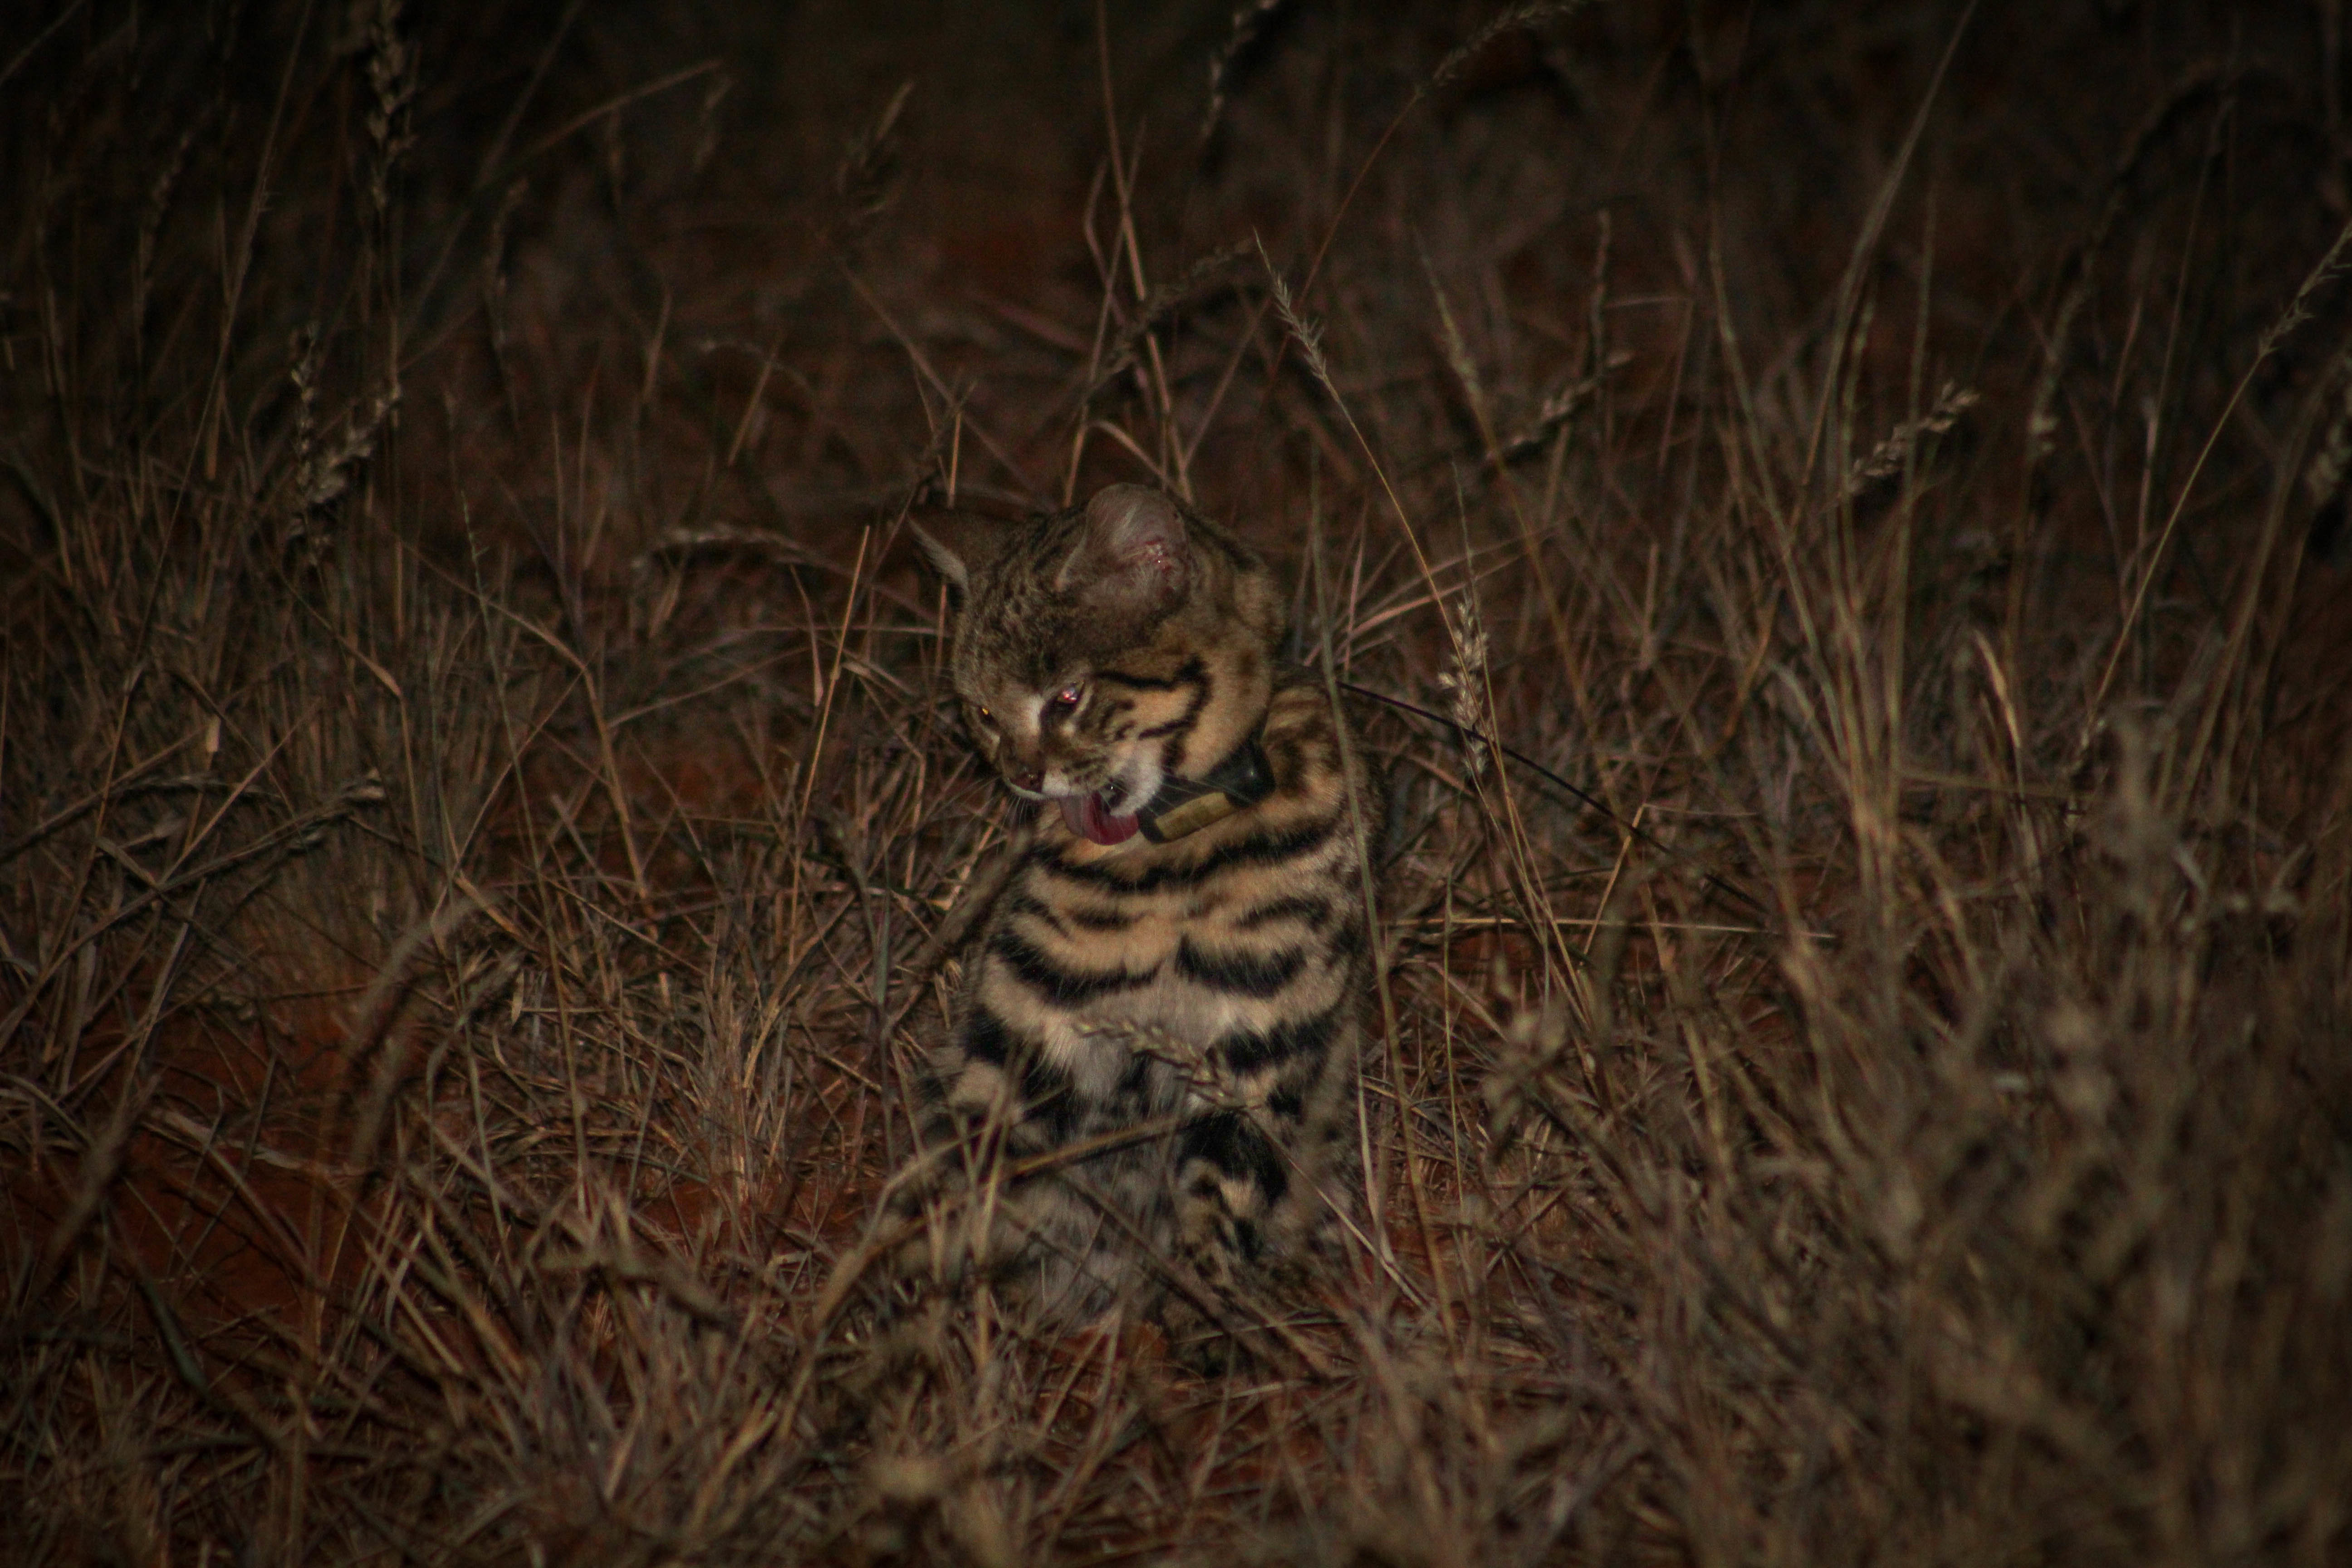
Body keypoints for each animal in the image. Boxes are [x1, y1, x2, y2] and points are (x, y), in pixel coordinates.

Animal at [903, 482, 1373, 1354]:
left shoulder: (1259, 1045)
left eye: (1067, 697)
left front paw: (1211, 1310)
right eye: (982, 709)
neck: (1169, 863)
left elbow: (1220, 1193)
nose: (1020, 777)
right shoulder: (1023, 1032)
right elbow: (971, 1176)